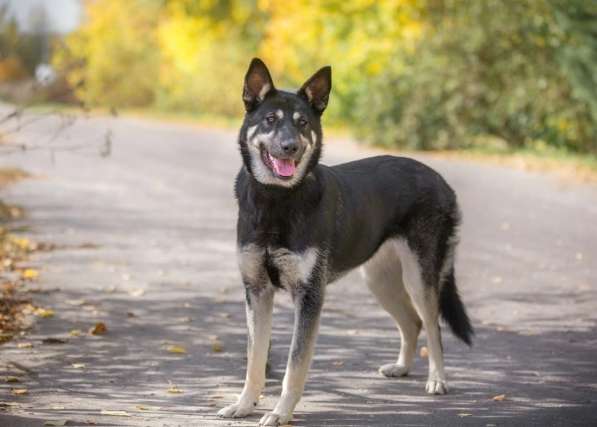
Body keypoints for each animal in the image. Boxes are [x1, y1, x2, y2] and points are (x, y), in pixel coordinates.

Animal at [217, 58, 472, 426]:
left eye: (302, 123)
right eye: (270, 120)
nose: (290, 147)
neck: (277, 200)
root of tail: (441, 180)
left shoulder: (309, 298)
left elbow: (295, 366)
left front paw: (281, 413)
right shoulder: (257, 292)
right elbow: (255, 359)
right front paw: (244, 404)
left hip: (418, 277)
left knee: (432, 325)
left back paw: (437, 379)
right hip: (380, 280)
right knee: (412, 323)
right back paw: (402, 368)